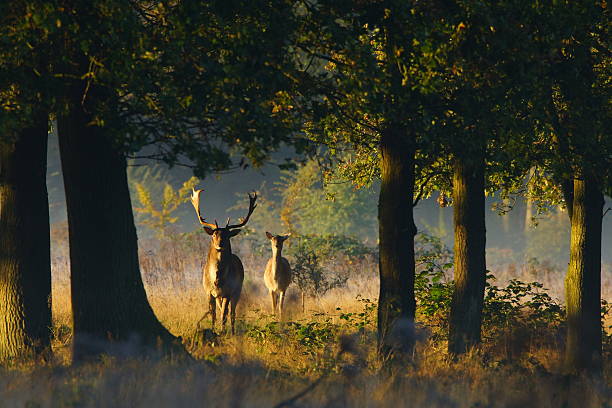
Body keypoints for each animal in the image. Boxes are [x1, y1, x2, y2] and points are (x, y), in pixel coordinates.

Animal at [192, 188, 256, 334]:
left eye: (227, 235)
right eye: (214, 234)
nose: (220, 244)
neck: (217, 279)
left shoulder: (228, 291)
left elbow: (224, 315)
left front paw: (222, 332)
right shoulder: (208, 292)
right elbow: (213, 314)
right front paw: (213, 330)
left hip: (237, 290)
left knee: (232, 313)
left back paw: (232, 331)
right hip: (219, 296)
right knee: (223, 310)